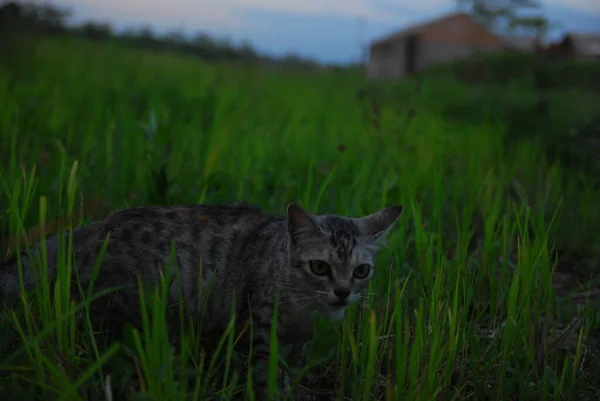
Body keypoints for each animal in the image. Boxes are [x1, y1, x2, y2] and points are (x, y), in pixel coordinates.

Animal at [1, 202, 404, 398]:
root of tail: (91, 228)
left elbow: (295, 368)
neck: (309, 311)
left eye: (361, 271)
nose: (343, 292)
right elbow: (266, 376)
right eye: (320, 266)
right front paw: (277, 392)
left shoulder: (301, 344)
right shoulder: (259, 329)